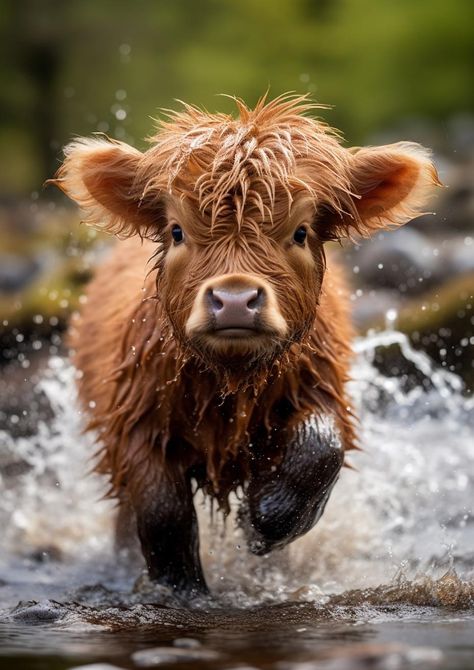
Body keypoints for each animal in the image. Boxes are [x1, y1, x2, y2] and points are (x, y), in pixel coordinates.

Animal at [52, 96, 440, 600]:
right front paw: (181, 590)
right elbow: (161, 510)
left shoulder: (321, 386)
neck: (231, 384)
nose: (235, 298)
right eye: (176, 231)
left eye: (300, 232)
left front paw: (261, 521)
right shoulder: (132, 421)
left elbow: (320, 448)